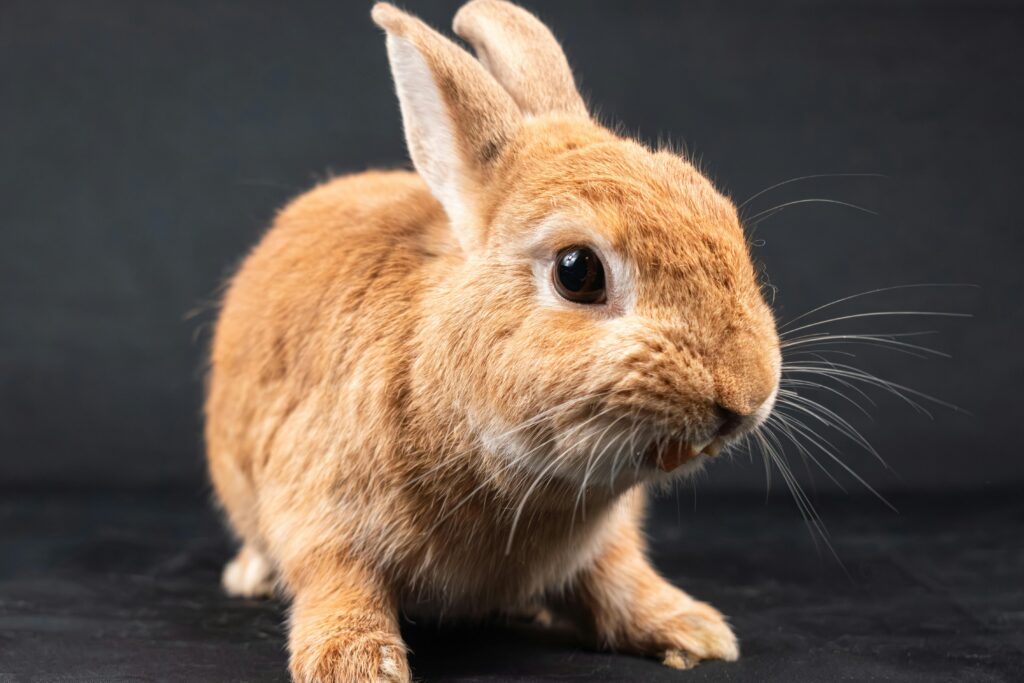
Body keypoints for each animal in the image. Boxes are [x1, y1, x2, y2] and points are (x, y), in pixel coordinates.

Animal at [205, 1, 781, 680]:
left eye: (724, 217)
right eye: (577, 271)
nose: (746, 396)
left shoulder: (603, 546)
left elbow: (616, 579)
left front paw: (693, 630)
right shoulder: (320, 507)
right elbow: (338, 581)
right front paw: (356, 663)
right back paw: (249, 577)